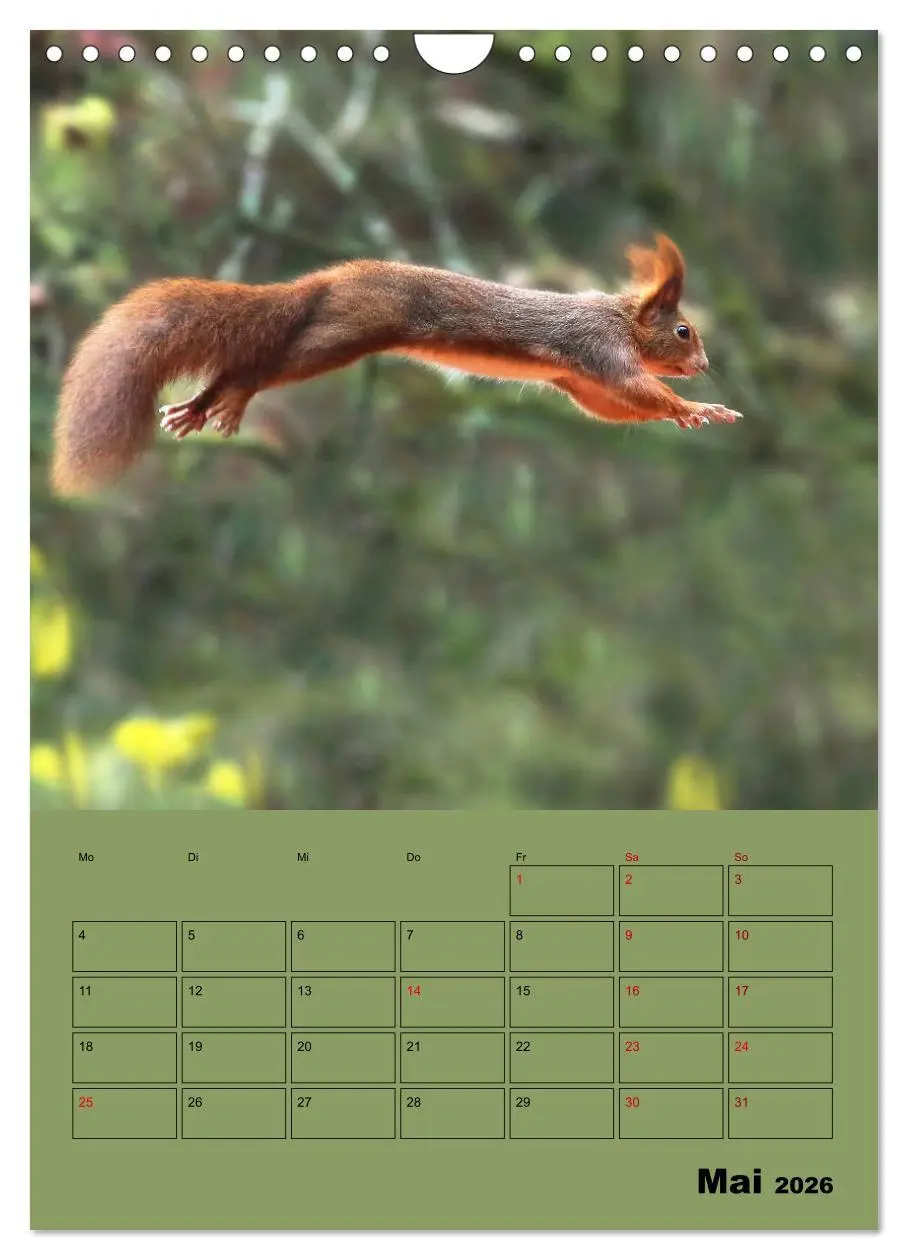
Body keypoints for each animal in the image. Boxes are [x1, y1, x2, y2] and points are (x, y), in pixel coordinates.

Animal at [51, 233, 741, 495]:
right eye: (683, 331)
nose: (705, 364)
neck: (623, 318)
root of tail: (328, 280)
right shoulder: (599, 348)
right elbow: (634, 387)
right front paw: (695, 406)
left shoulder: (579, 378)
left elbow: (608, 405)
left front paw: (691, 410)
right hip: (340, 334)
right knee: (262, 368)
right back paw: (230, 397)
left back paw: (197, 407)